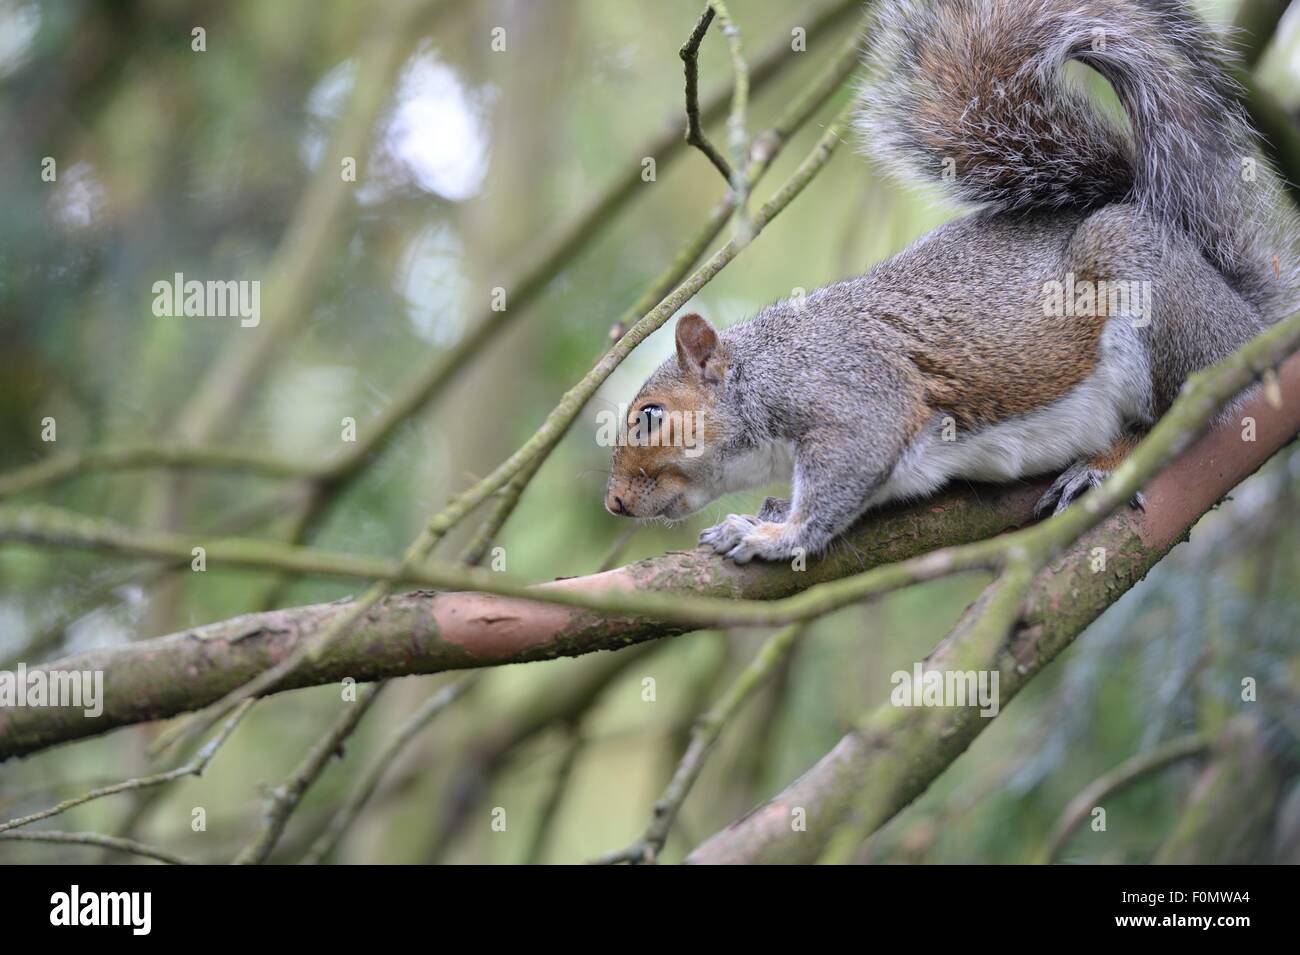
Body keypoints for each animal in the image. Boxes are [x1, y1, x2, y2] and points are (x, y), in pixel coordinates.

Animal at [605, 0, 1300, 564]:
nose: (614, 503)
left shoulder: (854, 391)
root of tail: (1242, 307)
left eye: (650, 417)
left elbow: (847, 468)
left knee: (1175, 414)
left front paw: (774, 536)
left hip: (1152, 297)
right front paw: (765, 512)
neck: (763, 370)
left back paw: (1105, 463)